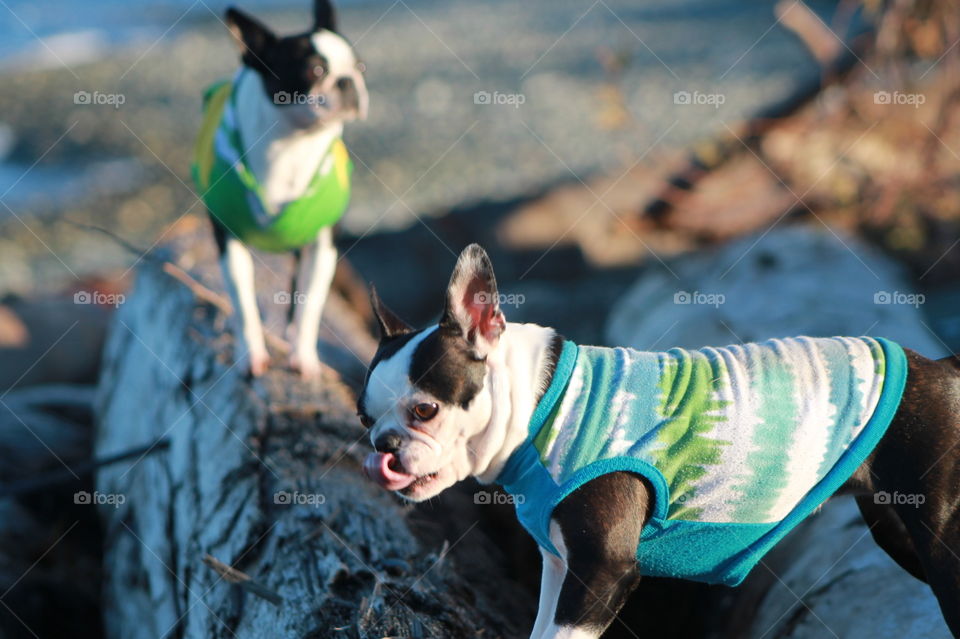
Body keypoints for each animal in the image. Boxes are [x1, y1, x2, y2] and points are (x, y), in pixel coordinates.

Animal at [193, 0, 366, 380]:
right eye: (315, 69)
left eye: (361, 66)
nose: (349, 81)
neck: (292, 146)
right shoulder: (230, 243)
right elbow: (244, 305)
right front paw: (251, 356)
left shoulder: (322, 247)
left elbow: (310, 305)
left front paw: (304, 357)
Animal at [358, 244, 960, 636]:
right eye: (364, 420)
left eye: (425, 409)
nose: (384, 447)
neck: (541, 404)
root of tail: (942, 368)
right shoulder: (560, 567)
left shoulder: (601, 572)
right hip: (895, 527)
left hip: (941, 537)